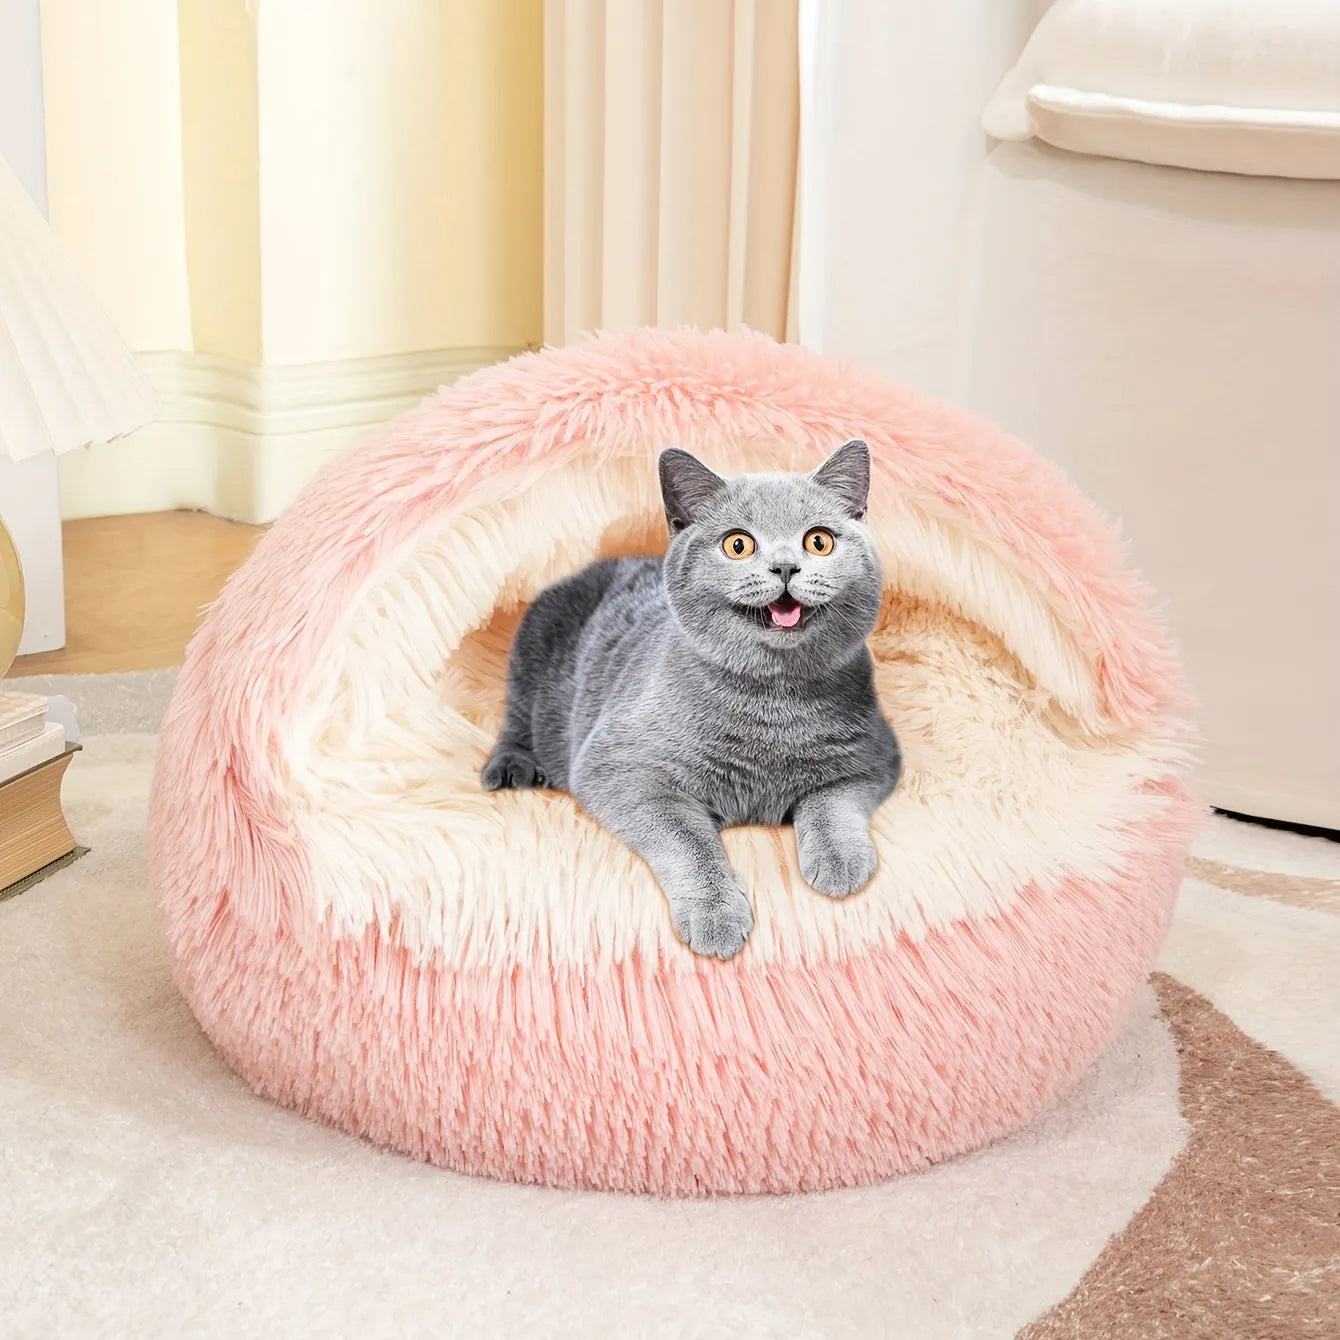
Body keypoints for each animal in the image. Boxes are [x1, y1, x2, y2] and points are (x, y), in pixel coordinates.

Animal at [482, 444, 900, 959]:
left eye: (818, 542)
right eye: (738, 545)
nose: (785, 567)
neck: (773, 701)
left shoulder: (875, 756)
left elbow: (832, 800)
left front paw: (840, 861)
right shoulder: (620, 771)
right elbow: (688, 841)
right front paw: (716, 915)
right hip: (532, 652)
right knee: (516, 719)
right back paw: (512, 768)